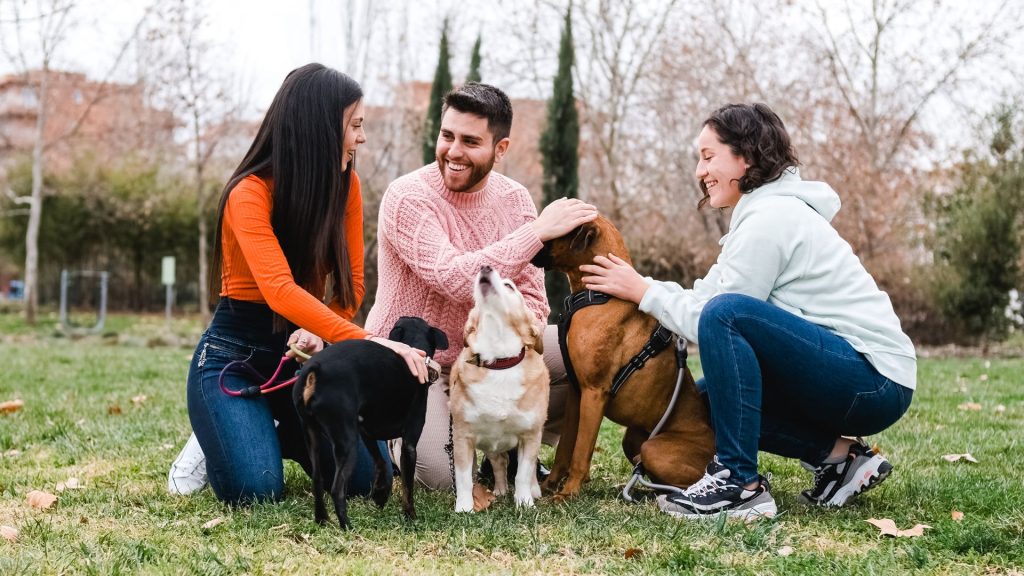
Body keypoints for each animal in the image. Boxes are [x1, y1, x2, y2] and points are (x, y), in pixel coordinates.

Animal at [292, 315, 444, 528]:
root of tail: (316, 370)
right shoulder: (409, 444)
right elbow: (407, 487)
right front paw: (410, 516)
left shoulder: (367, 432)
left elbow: (381, 463)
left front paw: (380, 494)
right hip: (347, 443)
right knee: (337, 488)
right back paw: (347, 526)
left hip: (311, 434)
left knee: (317, 479)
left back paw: (322, 520)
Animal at [532, 214, 716, 498]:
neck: (601, 296)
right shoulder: (577, 392)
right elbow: (565, 448)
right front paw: (549, 486)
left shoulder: (594, 393)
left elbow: (581, 451)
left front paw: (568, 493)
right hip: (632, 439)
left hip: (653, 449)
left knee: (681, 484)